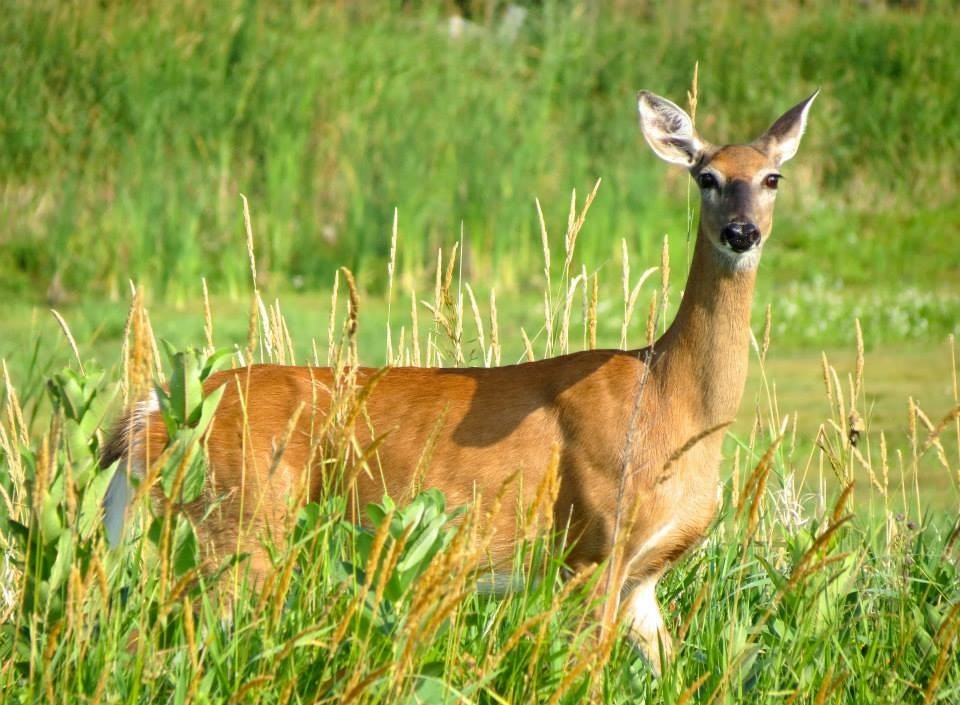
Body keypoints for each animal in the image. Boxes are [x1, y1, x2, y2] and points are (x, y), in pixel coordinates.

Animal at [102, 89, 816, 675]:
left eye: (772, 177)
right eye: (706, 177)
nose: (741, 232)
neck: (669, 402)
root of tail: (151, 414)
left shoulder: (643, 579)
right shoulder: (594, 547)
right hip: (237, 526)